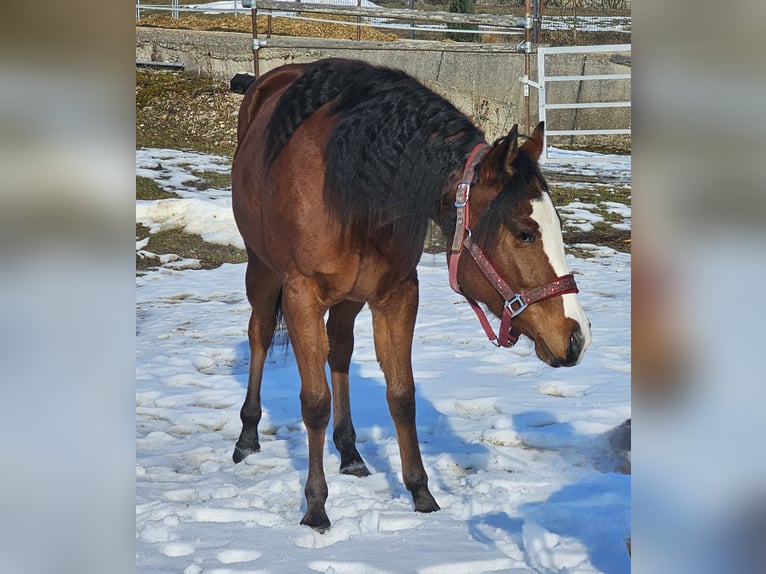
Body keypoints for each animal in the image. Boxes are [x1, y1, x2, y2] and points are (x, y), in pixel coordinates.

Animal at [230, 58, 591, 532]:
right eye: (525, 232)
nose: (577, 336)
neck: (350, 186)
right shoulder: (300, 294)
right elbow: (315, 402)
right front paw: (315, 507)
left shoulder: (398, 293)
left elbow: (402, 396)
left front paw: (421, 494)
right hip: (262, 270)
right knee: (258, 334)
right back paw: (247, 436)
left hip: (350, 297)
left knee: (340, 350)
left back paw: (350, 452)